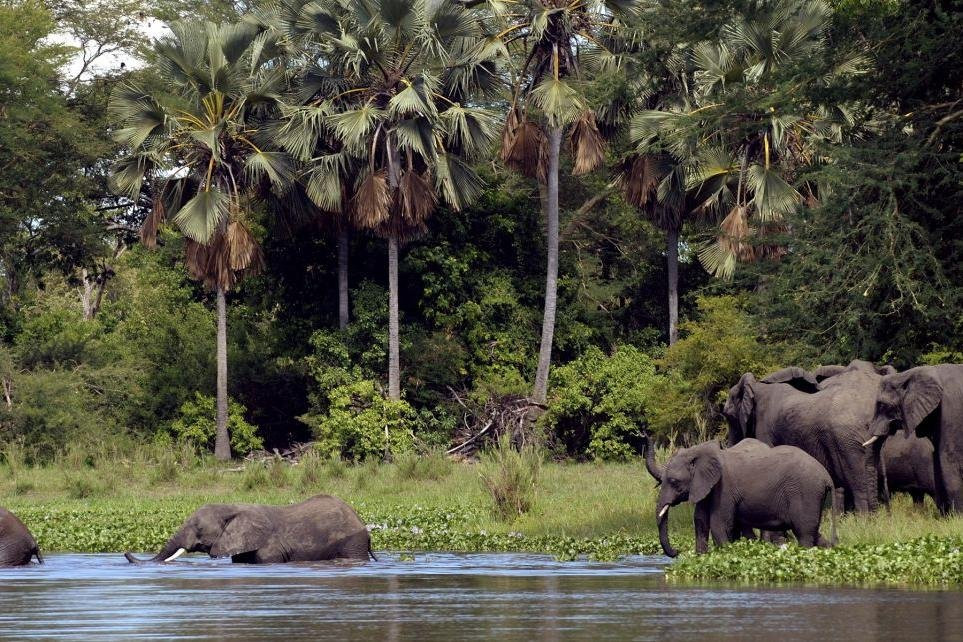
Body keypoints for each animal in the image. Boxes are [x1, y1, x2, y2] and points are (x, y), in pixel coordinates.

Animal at [648, 436, 836, 556]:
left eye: (674, 481)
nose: (677, 551)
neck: (698, 452)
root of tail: (827, 477)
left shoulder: (724, 488)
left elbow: (718, 525)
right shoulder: (705, 487)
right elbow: (700, 523)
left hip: (806, 492)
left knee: (804, 533)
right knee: (814, 533)